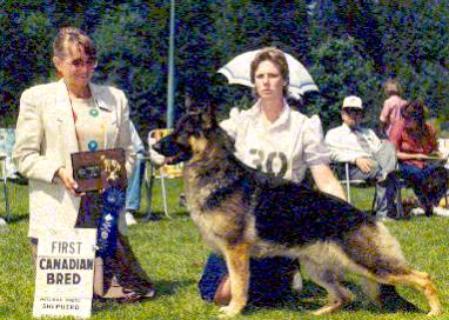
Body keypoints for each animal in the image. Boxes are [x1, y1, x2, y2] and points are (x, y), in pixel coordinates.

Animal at [152, 107, 440, 318]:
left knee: (423, 277)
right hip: (317, 268)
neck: (215, 170)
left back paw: (435, 311)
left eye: (182, 131)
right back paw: (317, 312)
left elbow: (238, 286)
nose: (155, 147)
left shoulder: (236, 252)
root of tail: (367, 218)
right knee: (344, 295)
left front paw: (233, 311)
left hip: (371, 264)